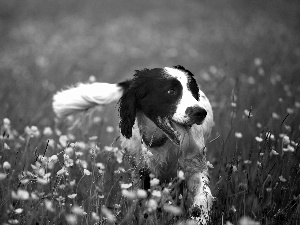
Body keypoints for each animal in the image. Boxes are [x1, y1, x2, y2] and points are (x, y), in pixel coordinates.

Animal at [53, 64, 213, 223]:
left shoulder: (194, 167)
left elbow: (200, 202)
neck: (159, 142)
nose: (200, 112)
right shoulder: (143, 174)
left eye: (193, 92)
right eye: (171, 91)